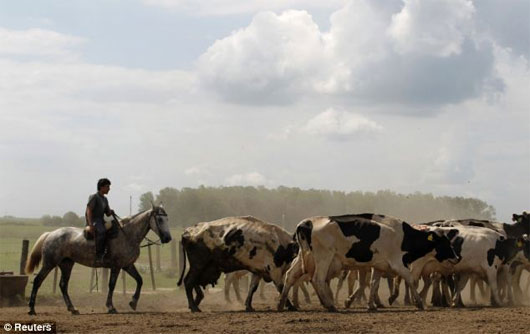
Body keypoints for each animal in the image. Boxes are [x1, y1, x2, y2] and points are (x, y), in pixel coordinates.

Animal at [24, 204, 170, 316]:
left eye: (167, 218)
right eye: (159, 219)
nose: (168, 238)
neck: (127, 235)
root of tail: (50, 234)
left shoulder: (128, 265)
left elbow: (140, 280)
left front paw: (133, 302)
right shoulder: (116, 267)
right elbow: (111, 285)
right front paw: (111, 307)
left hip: (66, 265)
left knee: (63, 285)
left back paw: (73, 309)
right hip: (49, 264)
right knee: (37, 281)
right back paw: (31, 309)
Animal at [276, 213, 458, 312]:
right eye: (444, 243)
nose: (457, 257)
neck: (402, 235)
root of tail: (306, 223)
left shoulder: (378, 266)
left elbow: (373, 284)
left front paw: (372, 305)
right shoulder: (398, 263)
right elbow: (410, 279)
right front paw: (419, 303)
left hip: (304, 257)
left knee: (290, 276)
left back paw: (282, 304)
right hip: (323, 257)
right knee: (317, 279)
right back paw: (330, 305)